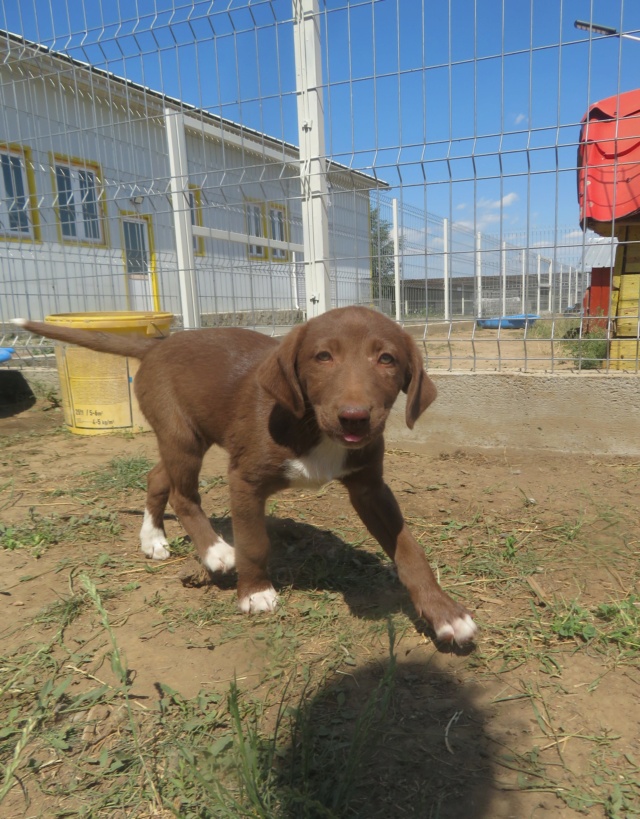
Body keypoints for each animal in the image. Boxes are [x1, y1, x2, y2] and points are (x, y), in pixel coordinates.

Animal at [13, 308, 476, 648]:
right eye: (323, 357)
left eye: (387, 359)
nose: (355, 418)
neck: (313, 427)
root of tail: (158, 344)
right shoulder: (245, 480)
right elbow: (254, 542)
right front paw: (253, 592)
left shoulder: (370, 489)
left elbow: (410, 551)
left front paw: (444, 613)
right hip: (182, 436)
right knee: (183, 495)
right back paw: (215, 551)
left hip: (184, 437)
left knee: (157, 477)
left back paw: (153, 538)